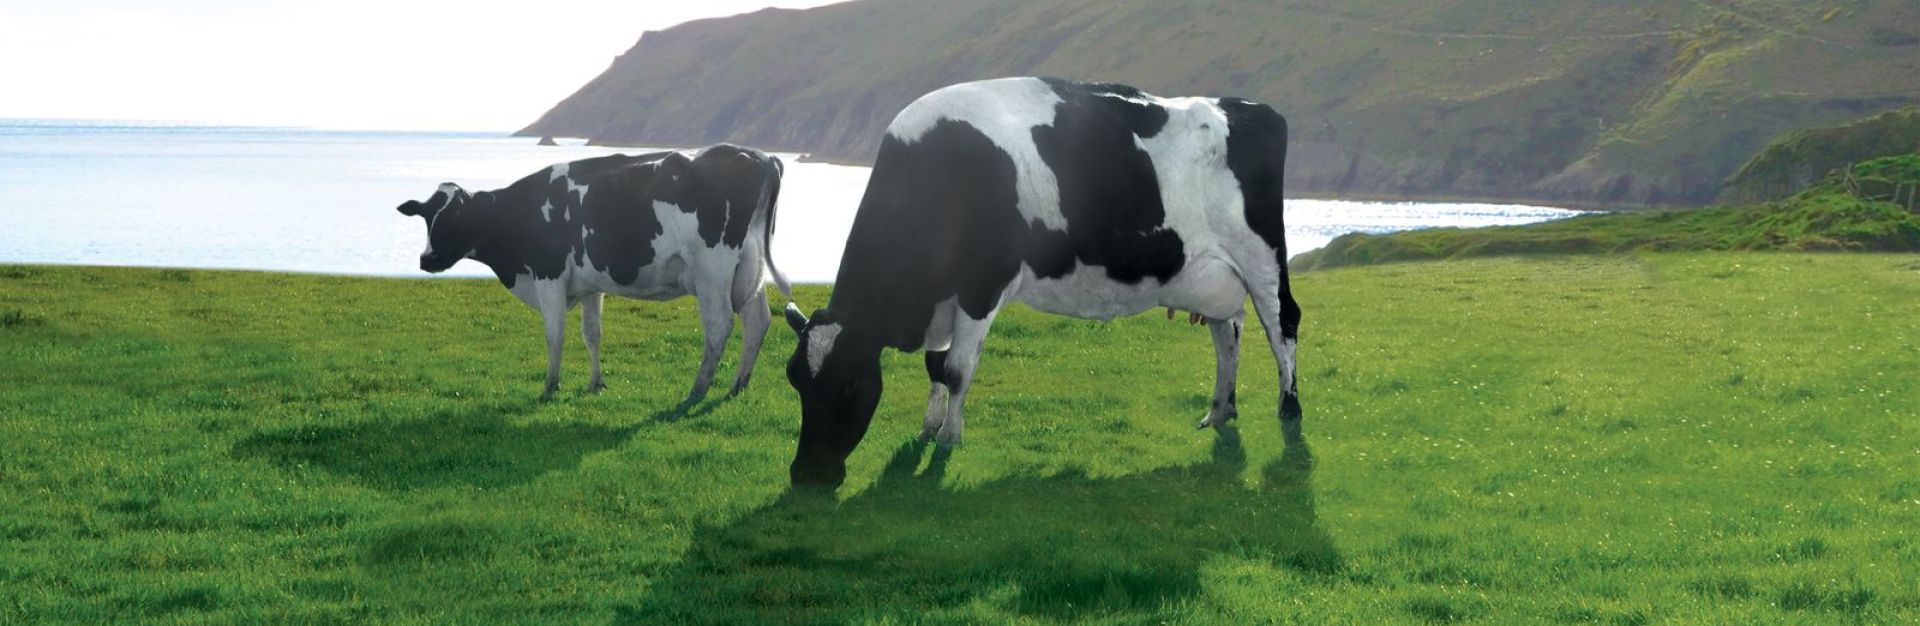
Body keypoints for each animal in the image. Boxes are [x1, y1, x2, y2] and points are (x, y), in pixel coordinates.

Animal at [397, 145, 792, 403]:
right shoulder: (590, 286)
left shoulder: (549, 276)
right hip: (749, 267)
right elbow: (592, 335)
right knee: (758, 320)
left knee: (719, 326)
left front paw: (550, 387)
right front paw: (595, 383)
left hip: (712, 268)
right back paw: (737, 385)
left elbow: (554, 335)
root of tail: (760, 156)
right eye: (427, 217)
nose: (426, 259)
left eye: (456, 217)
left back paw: (696, 391)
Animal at [782, 77, 1300, 488]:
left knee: (1283, 324)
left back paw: (1289, 410)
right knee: (1227, 334)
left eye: (850, 386)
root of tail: (1252, 107)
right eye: (795, 380)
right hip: (1213, 276)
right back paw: (1219, 410)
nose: (807, 475)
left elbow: (956, 369)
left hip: (1262, 256)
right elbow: (935, 367)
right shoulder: (947, 297)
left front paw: (949, 438)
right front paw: (928, 427)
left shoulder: (982, 285)